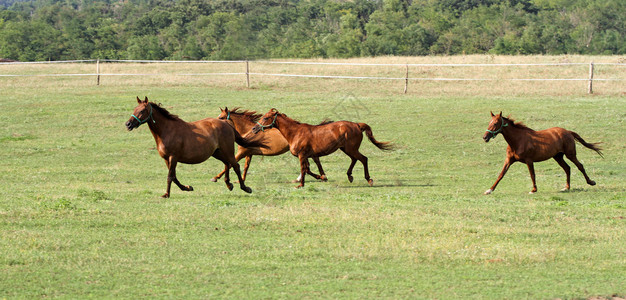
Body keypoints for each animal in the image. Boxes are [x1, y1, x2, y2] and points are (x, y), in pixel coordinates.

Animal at [124, 97, 266, 198]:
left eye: (142, 111)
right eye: (134, 109)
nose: (128, 124)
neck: (166, 131)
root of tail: (226, 122)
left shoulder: (173, 157)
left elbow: (170, 176)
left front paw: (166, 194)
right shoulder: (166, 158)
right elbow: (174, 177)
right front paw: (187, 188)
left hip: (227, 150)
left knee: (235, 165)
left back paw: (245, 188)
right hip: (217, 152)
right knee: (227, 164)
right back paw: (228, 184)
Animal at [250, 108, 390, 188]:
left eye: (266, 118)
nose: (254, 128)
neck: (295, 133)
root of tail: (357, 125)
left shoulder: (302, 155)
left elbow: (303, 169)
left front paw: (301, 185)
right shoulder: (308, 156)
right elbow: (308, 169)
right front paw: (322, 177)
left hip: (351, 149)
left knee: (364, 159)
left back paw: (369, 179)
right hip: (345, 149)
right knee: (355, 159)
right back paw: (350, 176)